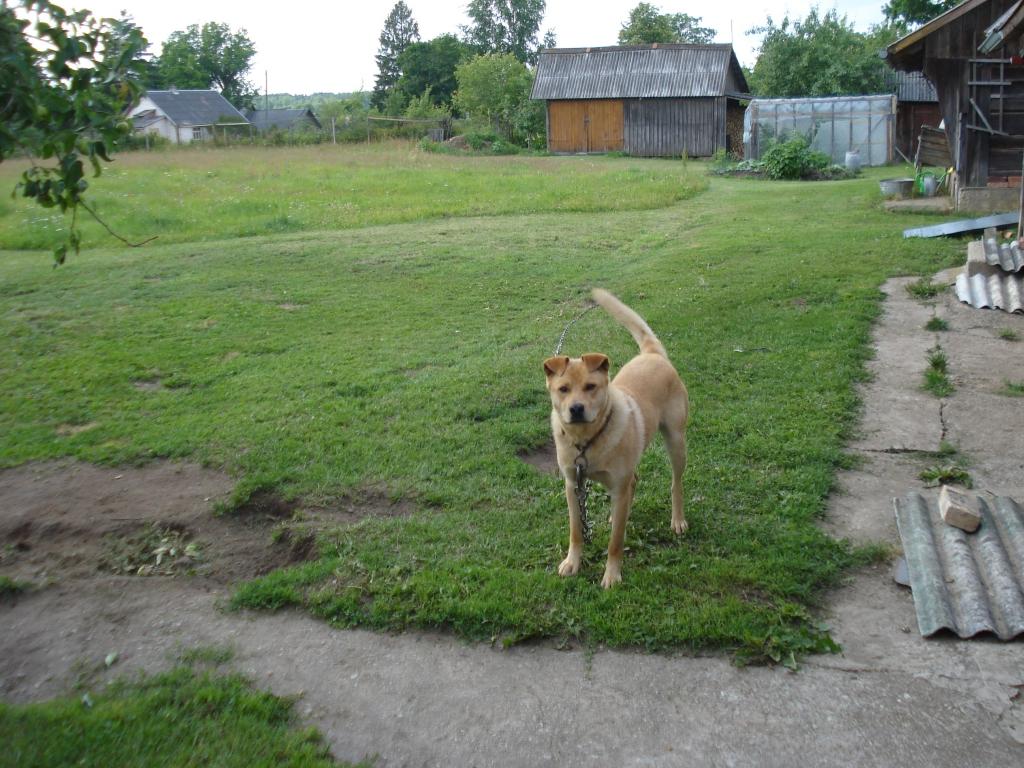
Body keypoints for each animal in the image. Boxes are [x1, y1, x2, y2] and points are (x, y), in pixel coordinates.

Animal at [544, 288, 688, 589]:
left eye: (591, 387)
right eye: (563, 389)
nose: (576, 409)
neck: (587, 441)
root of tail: (652, 354)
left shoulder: (618, 487)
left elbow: (615, 542)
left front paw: (612, 575)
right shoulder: (572, 485)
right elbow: (576, 531)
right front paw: (572, 562)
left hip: (676, 440)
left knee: (676, 483)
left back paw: (678, 519)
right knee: (635, 481)